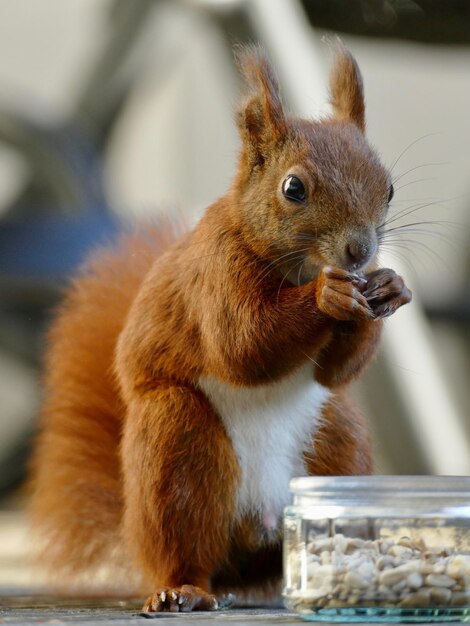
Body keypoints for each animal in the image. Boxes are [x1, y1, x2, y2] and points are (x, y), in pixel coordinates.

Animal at [29, 45, 412, 608]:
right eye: (293, 188)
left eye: (388, 187)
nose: (359, 251)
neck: (299, 267)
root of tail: (260, 523)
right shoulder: (216, 272)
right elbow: (243, 344)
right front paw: (328, 296)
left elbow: (336, 372)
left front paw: (389, 286)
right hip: (178, 442)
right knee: (184, 546)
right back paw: (181, 590)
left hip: (339, 444)